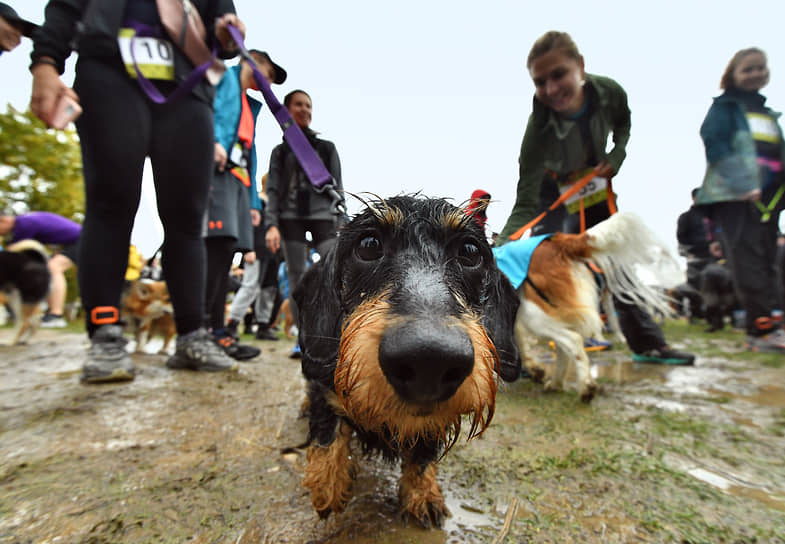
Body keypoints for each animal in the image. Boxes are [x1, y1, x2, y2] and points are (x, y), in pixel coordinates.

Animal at [290, 196, 520, 528]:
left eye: (470, 251)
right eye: (368, 244)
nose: (429, 359)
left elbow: (423, 454)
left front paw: (422, 494)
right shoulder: (326, 382)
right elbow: (327, 428)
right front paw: (327, 486)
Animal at [494, 210, 676, 402]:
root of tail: (559, 243)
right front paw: (534, 370)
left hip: (533, 313)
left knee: (573, 341)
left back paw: (585, 387)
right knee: (564, 346)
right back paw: (556, 383)